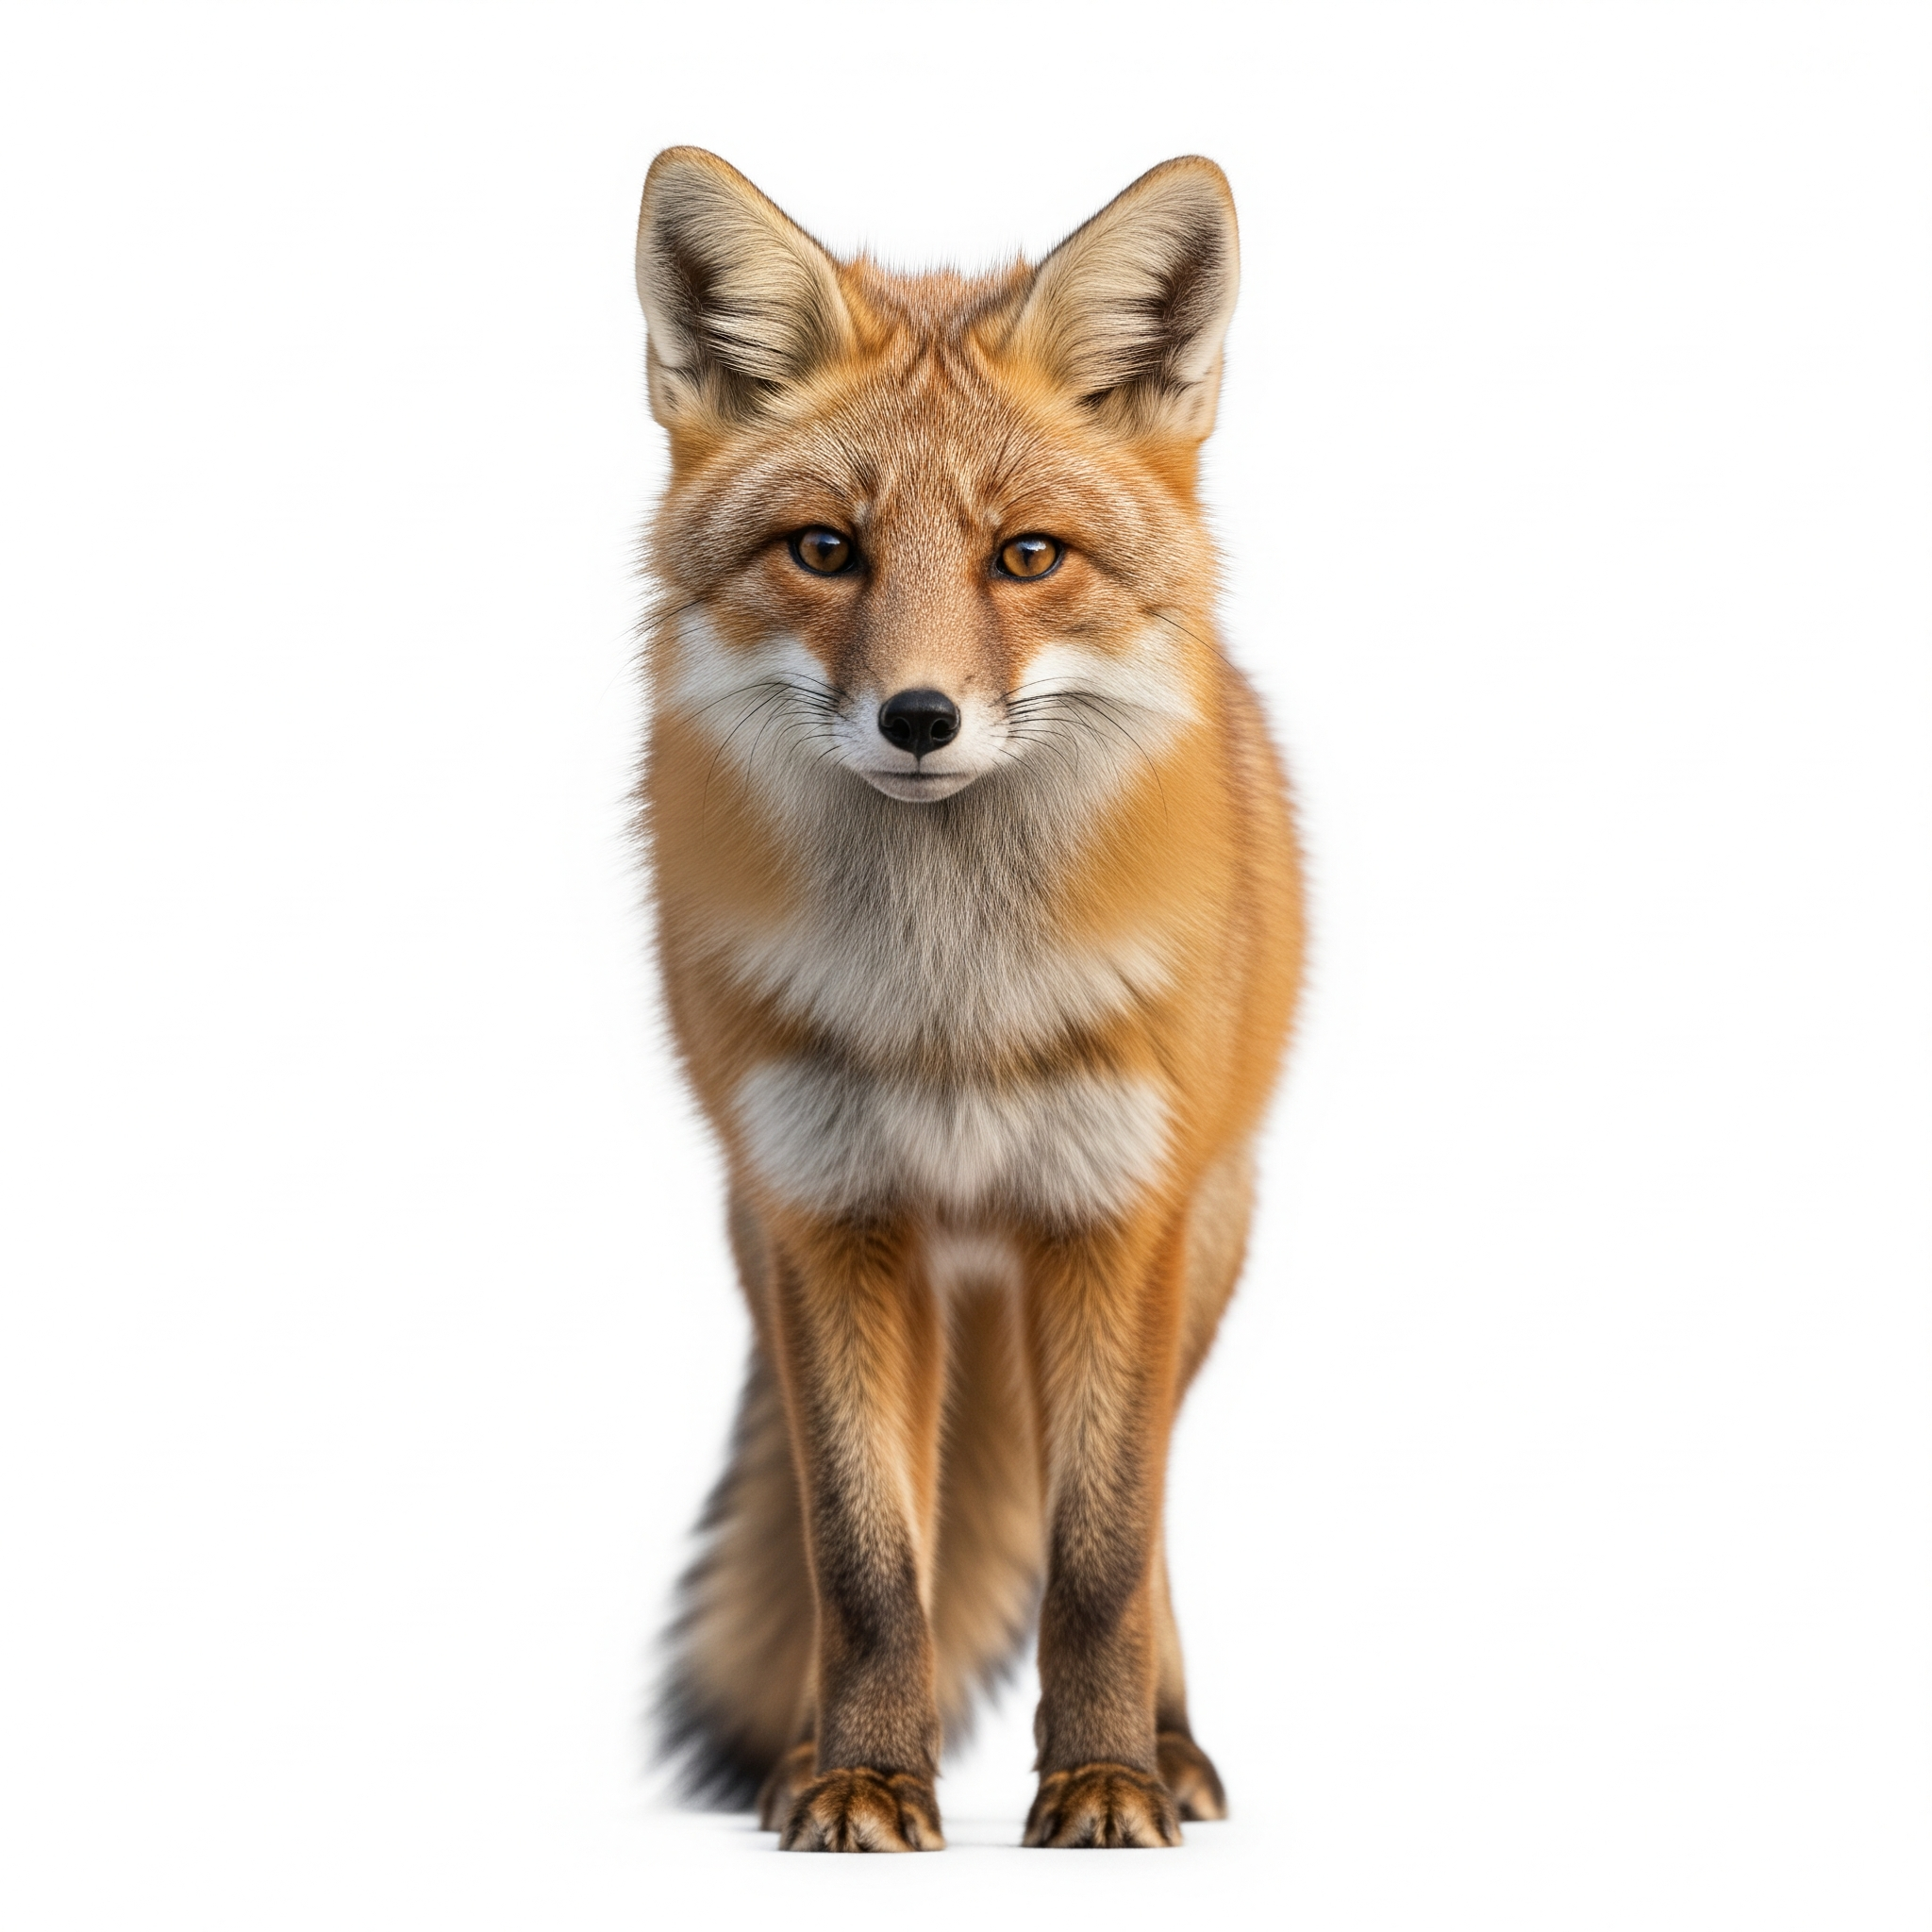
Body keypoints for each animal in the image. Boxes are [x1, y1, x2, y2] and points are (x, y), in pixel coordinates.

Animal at [635, 148, 1303, 1851]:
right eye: (825, 549)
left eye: (1026, 556)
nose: (920, 717)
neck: (952, 1011)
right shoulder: (825, 1216)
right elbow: (867, 1557)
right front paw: (866, 1777)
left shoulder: (1115, 1216)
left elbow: (1100, 1556)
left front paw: (1104, 1780)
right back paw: (820, 1750)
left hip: (1199, 1250)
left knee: (1151, 1521)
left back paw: (1170, 1744)